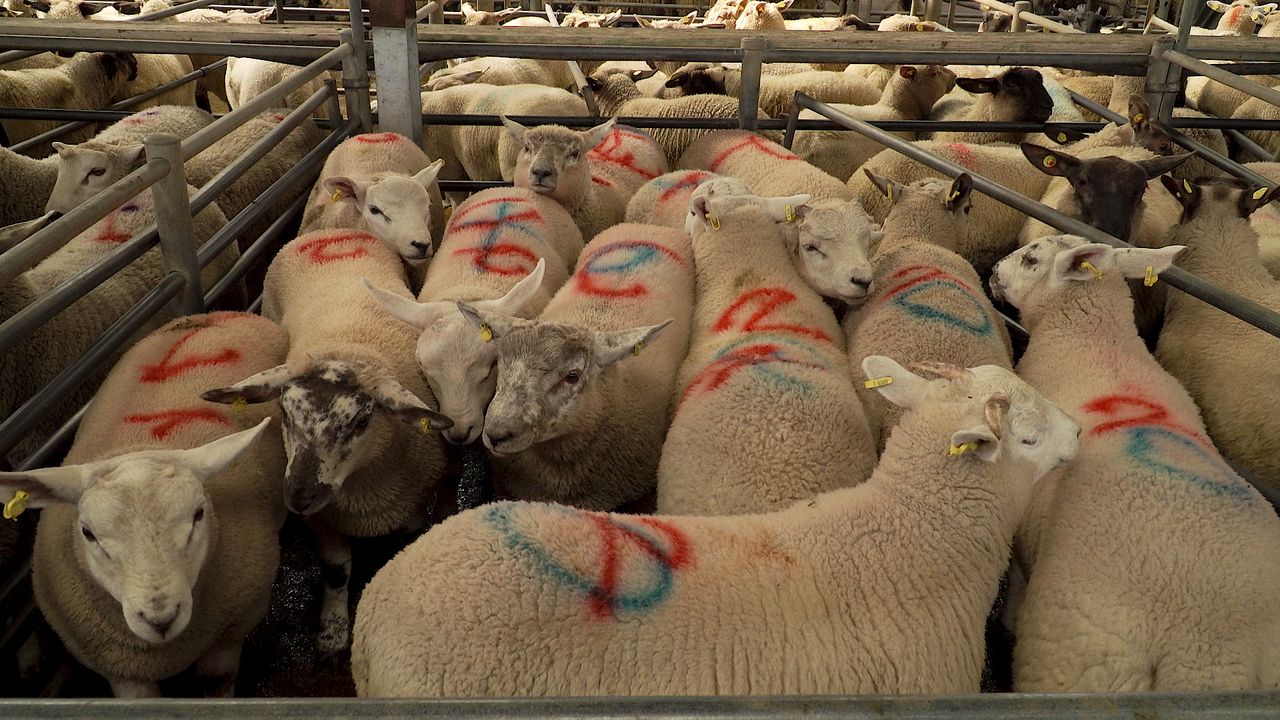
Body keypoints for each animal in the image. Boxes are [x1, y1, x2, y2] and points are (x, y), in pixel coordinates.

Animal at [0, 312, 287, 697]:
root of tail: (214, 314)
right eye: (88, 533)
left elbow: (218, 685)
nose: (160, 619)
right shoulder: (122, 670)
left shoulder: (233, 629)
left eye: (198, 515)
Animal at [202, 229, 452, 655]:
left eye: (363, 420)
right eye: (284, 413)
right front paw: (333, 630)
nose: (299, 497)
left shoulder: (415, 504)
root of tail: (328, 232)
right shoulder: (322, 519)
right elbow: (337, 570)